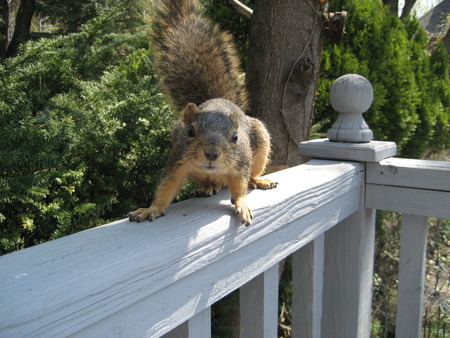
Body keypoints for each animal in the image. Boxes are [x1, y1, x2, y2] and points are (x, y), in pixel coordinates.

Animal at [126, 0, 278, 227]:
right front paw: (151, 209)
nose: (212, 154)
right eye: (190, 132)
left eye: (235, 137)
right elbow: (167, 186)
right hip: (195, 173)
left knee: (251, 175)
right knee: (211, 182)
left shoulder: (241, 161)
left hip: (259, 146)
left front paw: (242, 203)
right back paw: (207, 188)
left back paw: (259, 180)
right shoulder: (178, 160)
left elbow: (240, 186)